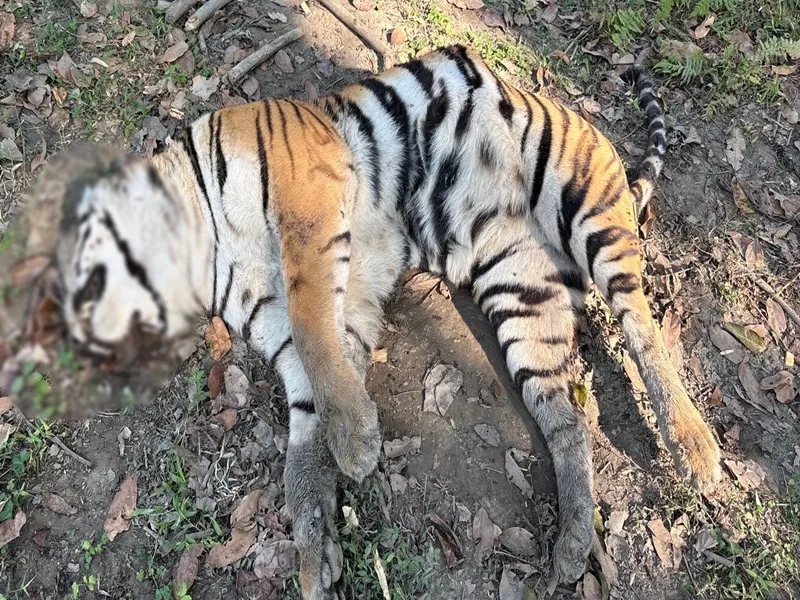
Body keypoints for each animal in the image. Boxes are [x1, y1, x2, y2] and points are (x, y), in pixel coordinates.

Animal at [35, 45, 721, 598]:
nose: (74, 339)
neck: (202, 250)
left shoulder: (307, 204)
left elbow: (314, 327)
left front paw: (356, 446)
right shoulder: (305, 310)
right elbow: (308, 408)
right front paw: (315, 543)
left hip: (584, 204)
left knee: (642, 325)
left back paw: (695, 448)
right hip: (522, 293)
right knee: (567, 418)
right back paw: (573, 546)